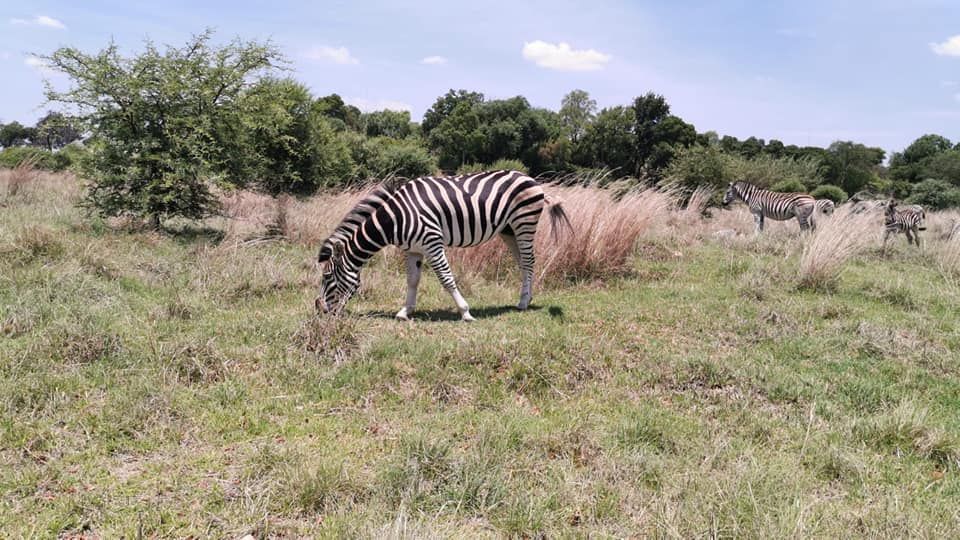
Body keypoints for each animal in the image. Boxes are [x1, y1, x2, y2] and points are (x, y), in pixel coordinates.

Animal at [316, 171, 568, 320]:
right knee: (523, 263)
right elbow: (412, 280)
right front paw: (405, 311)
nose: (321, 310)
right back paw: (526, 297)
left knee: (529, 260)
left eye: (327, 277)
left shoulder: (432, 242)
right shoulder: (413, 249)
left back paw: (524, 302)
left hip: (524, 222)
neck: (395, 219)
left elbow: (446, 278)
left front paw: (465, 312)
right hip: (508, 230)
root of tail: (530, 178)